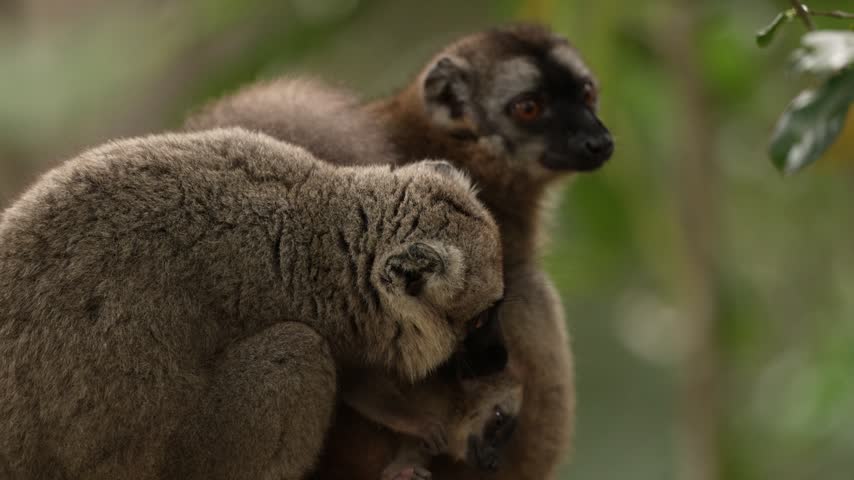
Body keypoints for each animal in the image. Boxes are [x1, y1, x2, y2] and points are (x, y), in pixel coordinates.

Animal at [0, 127, 505, 479]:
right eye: (481, 320)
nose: (501, 360)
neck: (327, 228)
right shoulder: (316, 304)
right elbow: (352, 375)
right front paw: (410, 420)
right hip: (177, 460)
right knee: (298, 351)